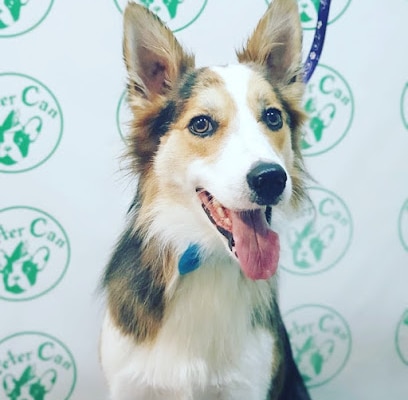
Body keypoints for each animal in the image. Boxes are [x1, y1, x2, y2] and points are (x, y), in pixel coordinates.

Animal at [100, 1, 310, 398]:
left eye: (273, 117)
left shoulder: (249, 384)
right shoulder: (128, 382)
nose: (271, 179)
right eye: (201, 125)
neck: (204, 257)